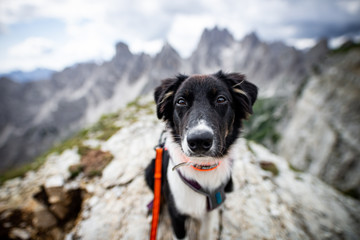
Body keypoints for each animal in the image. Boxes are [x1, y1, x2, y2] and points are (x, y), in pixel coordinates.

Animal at [145, 70, 258, 239]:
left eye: (221, 99)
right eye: (181, 101)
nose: (199, 141)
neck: (204, 168)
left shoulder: (211, 209)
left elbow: (206, 233)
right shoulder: (177, 216)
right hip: (150, 169)